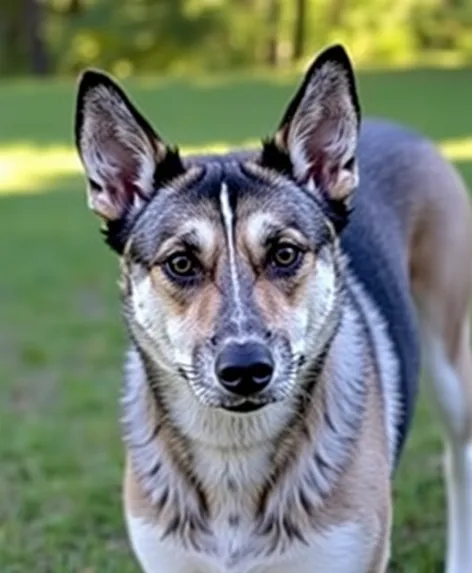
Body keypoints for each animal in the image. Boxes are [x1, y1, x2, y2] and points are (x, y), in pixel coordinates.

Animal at [72, 42, 472, 568]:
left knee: (459, 459)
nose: (245, 370)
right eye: (180, 263)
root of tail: (399, 128)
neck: (233, 453)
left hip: (451, 363)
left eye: (284, 254)